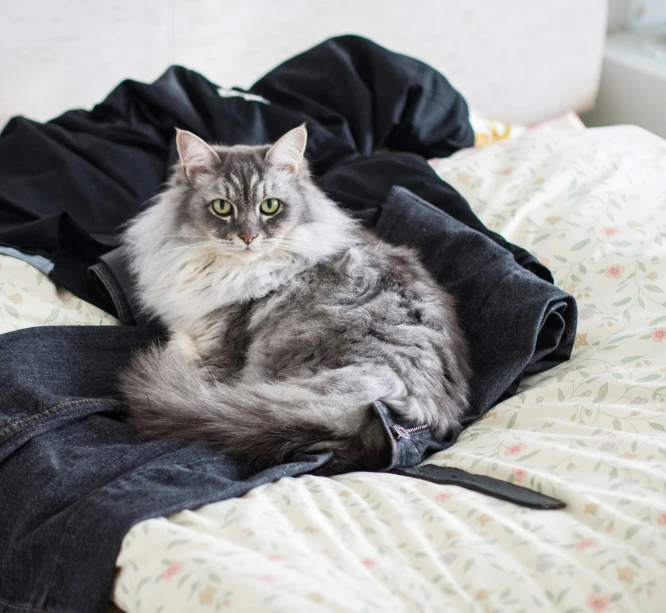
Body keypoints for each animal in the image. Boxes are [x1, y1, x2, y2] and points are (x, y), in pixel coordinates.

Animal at [120, 125, 472, 468]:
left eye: (269, 206)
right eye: (222, 208)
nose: (248, 237)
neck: (229, 268)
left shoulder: (219, 352)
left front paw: (177, 348)